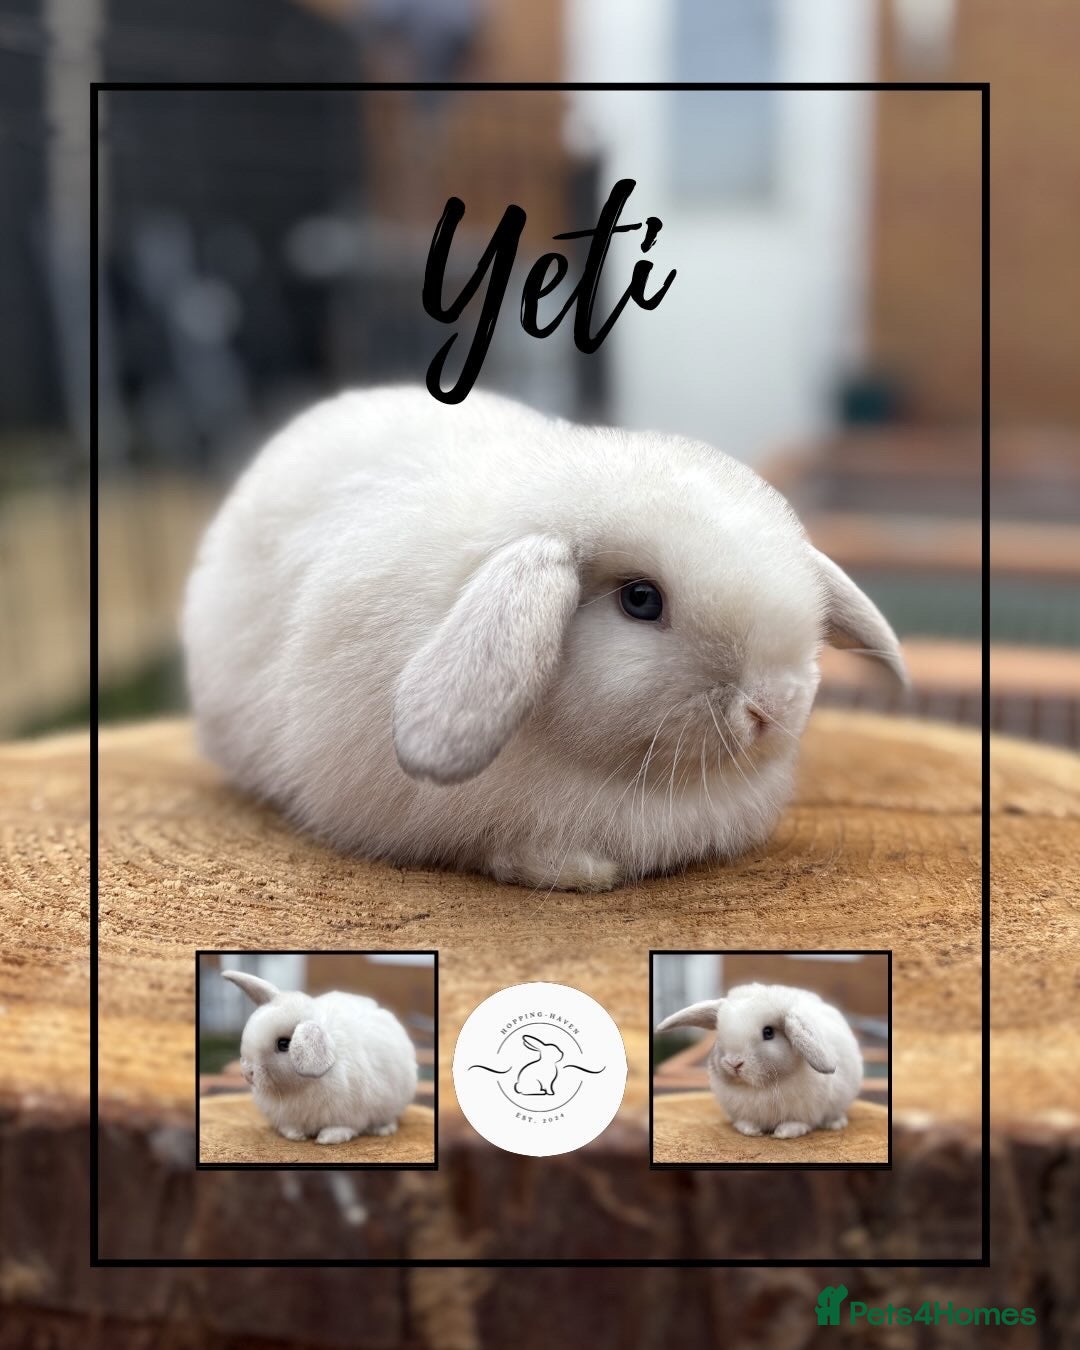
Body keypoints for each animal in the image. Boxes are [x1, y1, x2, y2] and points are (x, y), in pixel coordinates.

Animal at [221, 969, 418, 1144]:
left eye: (284, 1044)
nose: (247, 1073)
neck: (301, 1087)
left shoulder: (351, 1114)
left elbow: (343, 1128)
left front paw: (327, 1139)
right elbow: (289, 1127)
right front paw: (295, 1135)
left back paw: (383, 1130)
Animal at [655, 982, 864, 1138]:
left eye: (768, 1032)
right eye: (719, 1033)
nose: (734, 1063)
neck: (760, 1087)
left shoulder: (806, 1110)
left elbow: (799, 1122)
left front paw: (784, 1132)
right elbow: (745, 1122)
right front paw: (750, 1130)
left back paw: (835, 1124)